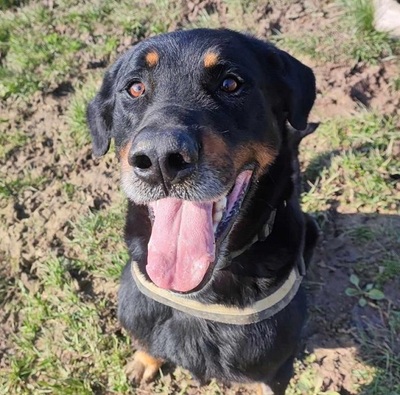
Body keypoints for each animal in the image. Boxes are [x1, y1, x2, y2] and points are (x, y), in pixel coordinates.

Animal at [86, 28, 318, 395]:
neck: (199, 296)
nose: (161, 159)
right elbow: (147, 343)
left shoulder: (274, 370)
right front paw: (143, 361)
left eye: (230, 83)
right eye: (134, 88)